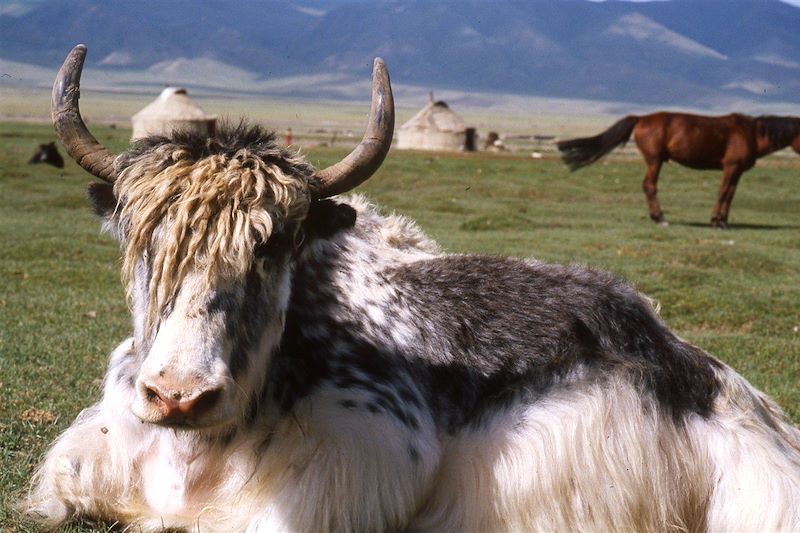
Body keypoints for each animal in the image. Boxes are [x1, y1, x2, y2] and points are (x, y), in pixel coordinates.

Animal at [556, 112, 800, 227]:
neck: (752, 133)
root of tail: (641, 118)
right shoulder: (731, 166)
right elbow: (723, 192)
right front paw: (716, 222)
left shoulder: (737, 170)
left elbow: (730, 194)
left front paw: (723, 220)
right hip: (655, 160)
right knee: (649, 186)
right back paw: (660, 218)